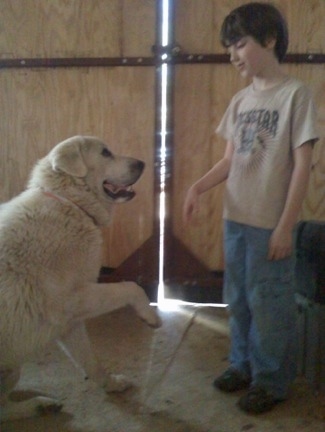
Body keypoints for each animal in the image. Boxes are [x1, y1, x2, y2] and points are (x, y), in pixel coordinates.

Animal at [0, 136, 161, 422]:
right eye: (106, 153)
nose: (143, 163)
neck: (71, 203)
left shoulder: (70, 323)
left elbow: (91, 362)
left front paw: (111, 384)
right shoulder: (70, 300)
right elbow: (130, 287)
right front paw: (148, 315)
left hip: (13, 366)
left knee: (3, 407)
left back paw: (40, 405)